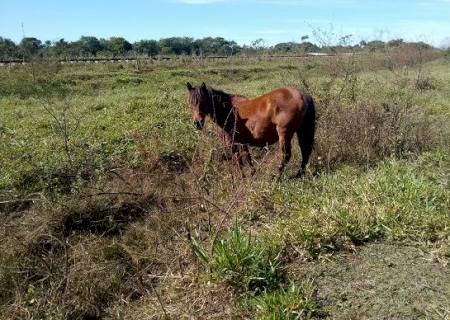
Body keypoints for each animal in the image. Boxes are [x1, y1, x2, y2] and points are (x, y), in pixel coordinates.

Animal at [186, 82, 316, 178]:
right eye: (190, 103)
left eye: (203, 101)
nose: (197, 123)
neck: (229, 110)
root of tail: (302, 95)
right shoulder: (242, 142)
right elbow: (247, 158)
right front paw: (252, 175)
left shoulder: (232, 143)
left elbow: (238, 160)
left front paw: (242, 177)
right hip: (301, 132)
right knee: (305, 152)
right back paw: (299, 174)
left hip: (284, 134)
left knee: (286, 156)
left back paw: (277, 177)